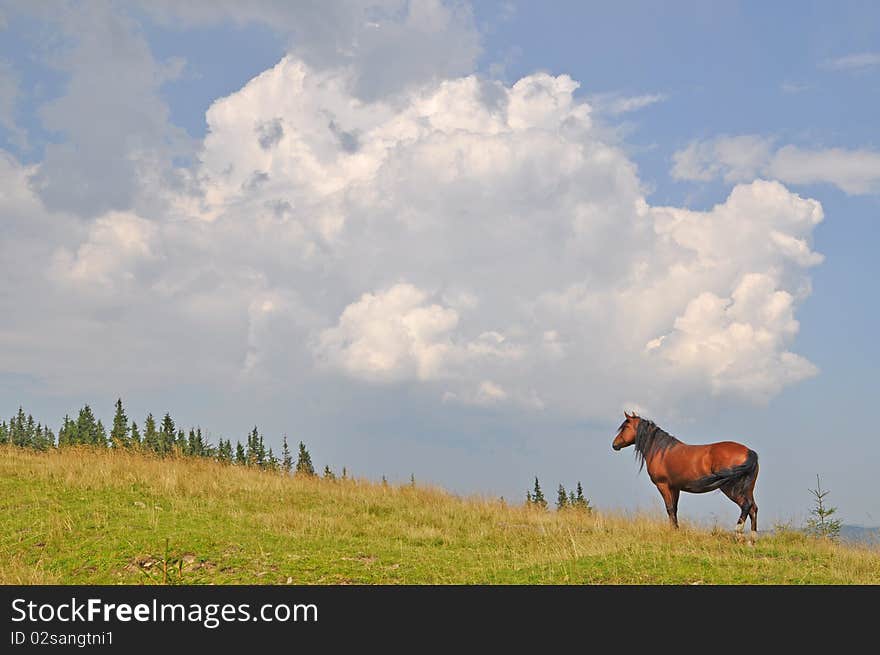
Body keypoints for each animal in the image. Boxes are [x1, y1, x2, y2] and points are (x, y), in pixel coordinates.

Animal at [612, 412, 756, 540]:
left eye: (625, 427)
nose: (614, 444)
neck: (661, 451)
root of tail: (749, 452)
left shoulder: (663, 485)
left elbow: (669, 508)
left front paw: (673, 532)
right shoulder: (675, 487)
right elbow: (674, 509)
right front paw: (676, 530)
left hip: (730, 488)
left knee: (746, 505)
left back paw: (738, 533)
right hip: (748, 489)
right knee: (753, 508)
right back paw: (752, 540)